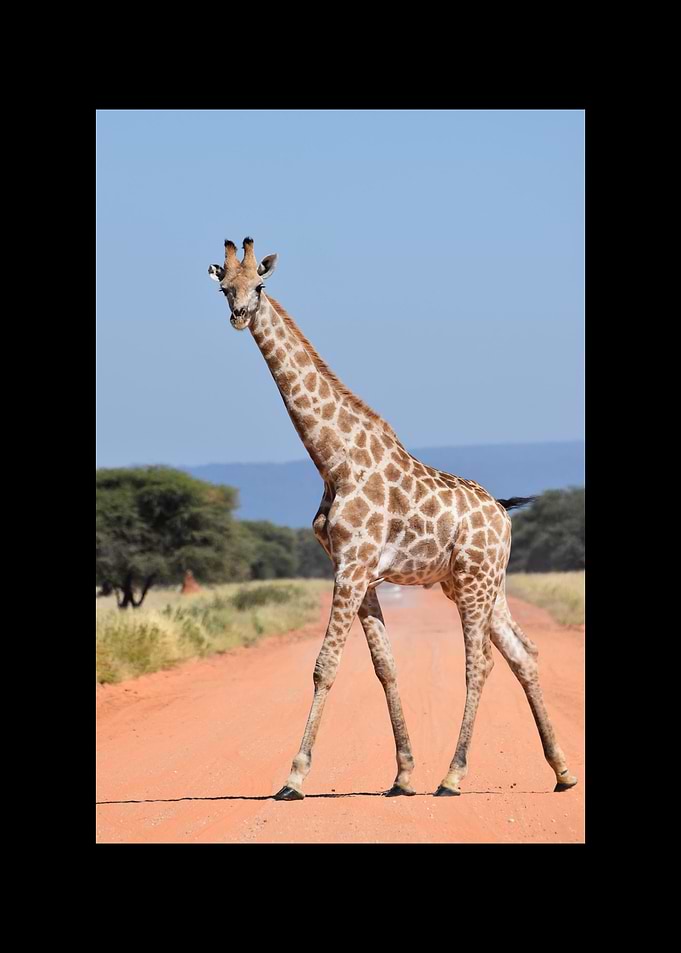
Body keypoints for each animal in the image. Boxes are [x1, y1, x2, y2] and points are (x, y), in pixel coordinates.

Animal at [208, 238, 578, 800]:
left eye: (261, 285)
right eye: (225, 286)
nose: (240, 314)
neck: (333, 459)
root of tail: (502, 513)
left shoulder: (353, 566)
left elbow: (326, 665)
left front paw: (294, 777)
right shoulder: (355, 570)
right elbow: (385, 666)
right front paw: (403, 774)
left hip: (475, 581)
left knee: (480, 662)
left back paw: (453, 776)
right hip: (482, 583)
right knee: (523, 653)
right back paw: (561, 771)